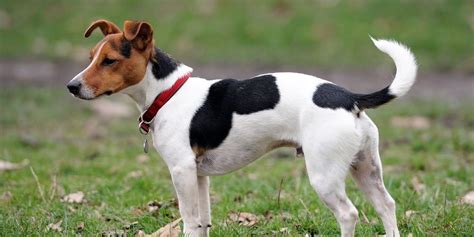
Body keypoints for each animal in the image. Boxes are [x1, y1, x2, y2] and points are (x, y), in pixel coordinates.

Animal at [65, 19, 414, 236]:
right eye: (91, 56)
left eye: (109, 61)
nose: (71, 86)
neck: (168, 93)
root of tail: (349, 97)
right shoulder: (199, 175)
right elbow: (203, 223)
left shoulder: (181, 171)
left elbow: (189, 221)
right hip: (365, 168)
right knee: (386, 206)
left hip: (324, 176)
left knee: (348, 214)